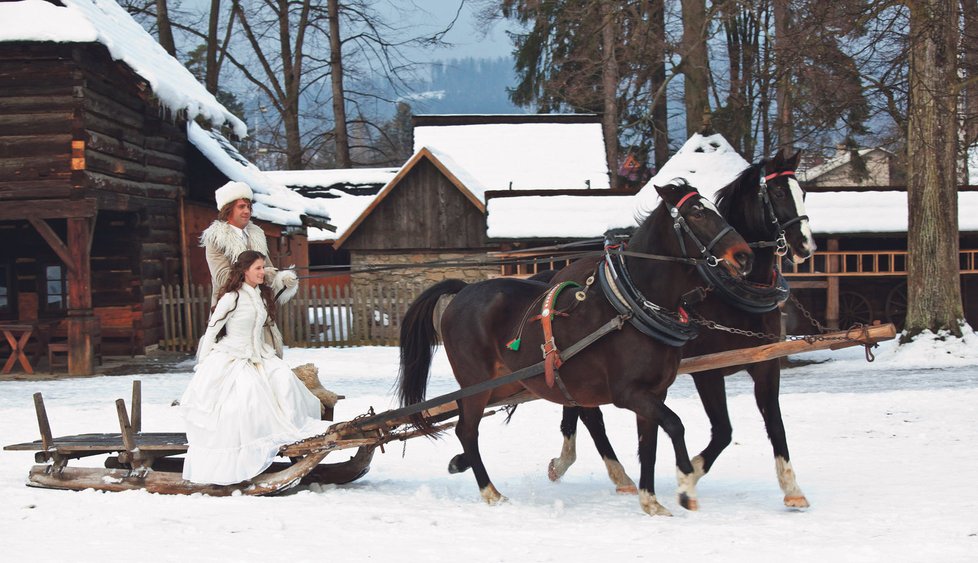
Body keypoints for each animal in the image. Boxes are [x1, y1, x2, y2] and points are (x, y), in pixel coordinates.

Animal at [396, 181, 756, 516]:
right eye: (697, 213)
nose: (744, 256)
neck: (631, 308)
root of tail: (463, 291)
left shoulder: (653, 393)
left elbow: (649, 444)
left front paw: (651, 500)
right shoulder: (629, 393)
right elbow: (674, 425)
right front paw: (685, 486)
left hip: (507, 383)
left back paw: (463, 464)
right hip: (476, 382)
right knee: (467, 430)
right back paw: (491, 492)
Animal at [548, 148, 816, 508]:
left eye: (803, 192)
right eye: (776, 193)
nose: (805, 245)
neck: (733, 291)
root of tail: (561, 273)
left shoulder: (765, 363)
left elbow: (775, 422)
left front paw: (792, 488)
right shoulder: (708, 371)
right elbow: (723, 430)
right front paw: (688, 476)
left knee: (578, 407)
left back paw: (569, 462)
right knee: (590, 415)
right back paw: (614, 473)